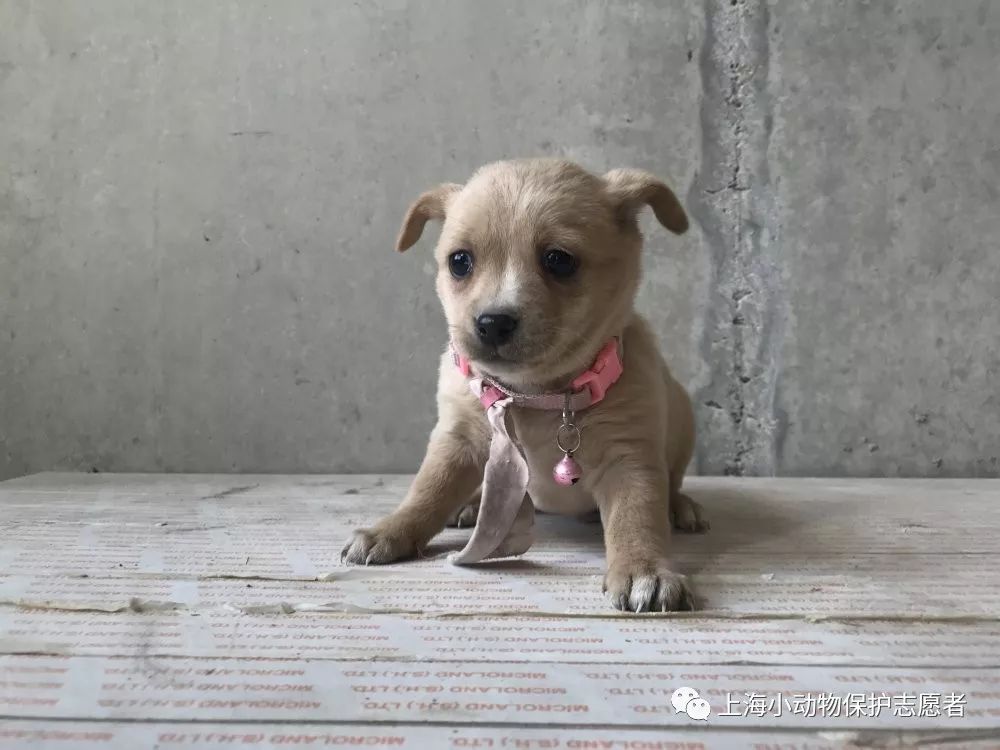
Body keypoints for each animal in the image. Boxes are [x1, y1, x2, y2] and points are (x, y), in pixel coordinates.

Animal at [342, 158, 707, 612]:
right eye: (459, 261)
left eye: (559, 260)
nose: (492, 322)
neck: (533, 395)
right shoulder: (456, 439)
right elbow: (427, 489)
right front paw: (390, 530)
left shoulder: (631, 458)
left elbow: (636, 517)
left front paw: (645, 570)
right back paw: (472, 503)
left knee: (670, 484)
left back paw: (681, 506)